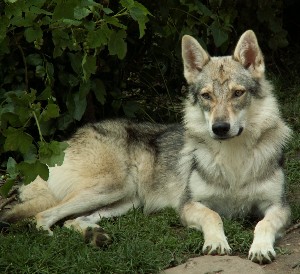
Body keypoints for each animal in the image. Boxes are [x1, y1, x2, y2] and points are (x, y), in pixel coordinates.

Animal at [0, 29, 290, 264]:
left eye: (238, 93)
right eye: (207, 96)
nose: (219, 128)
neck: (233, 158)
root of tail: (67, 141)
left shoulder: (280, 206)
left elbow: (263, 224)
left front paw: (261, 248)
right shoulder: (188, 205)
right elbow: (214, 216)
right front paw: (216, 242)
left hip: (125, 201)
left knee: (72, 220)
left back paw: (96, 236)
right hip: (109, 189)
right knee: (42, 218)